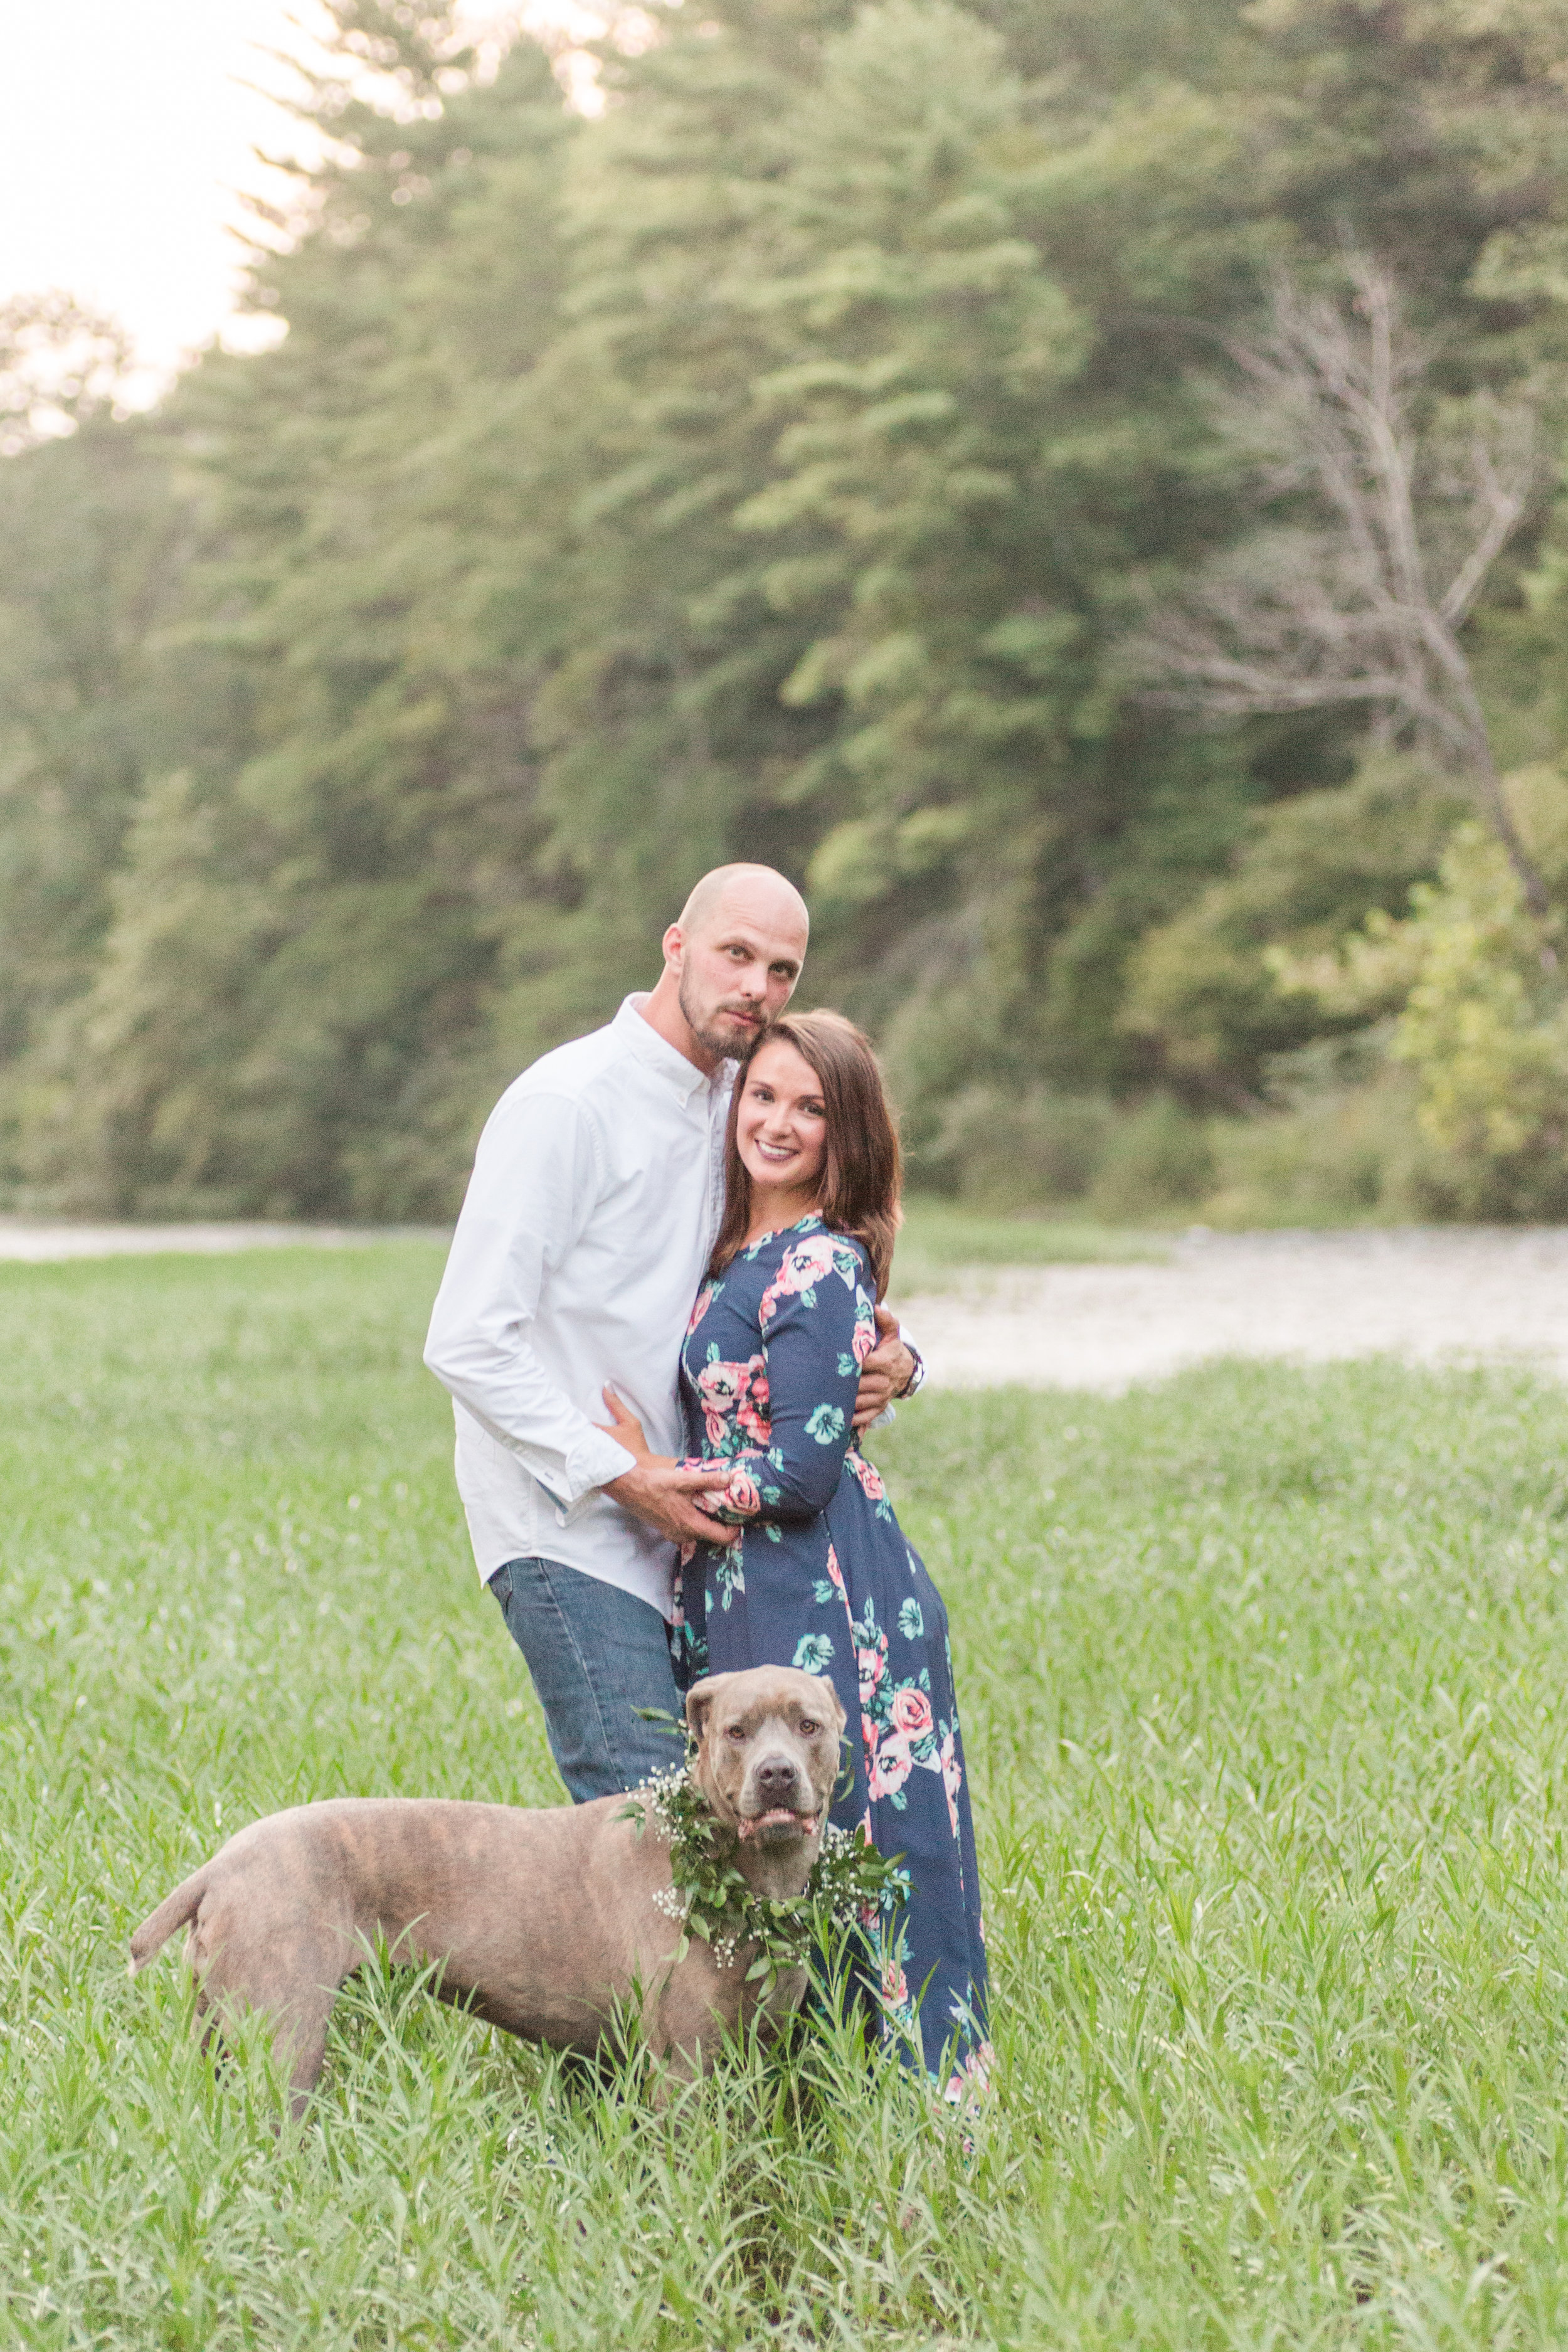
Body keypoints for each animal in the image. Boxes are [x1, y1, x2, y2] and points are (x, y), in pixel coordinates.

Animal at [130, 1665, 850, 2126]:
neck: (743, 1870)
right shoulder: (683, 2066)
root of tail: (218, 1866)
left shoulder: (756, 2053)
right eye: (737, 1731)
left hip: (218, 2029)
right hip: (287, 2038)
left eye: (808, 1726)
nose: (777, 1773)